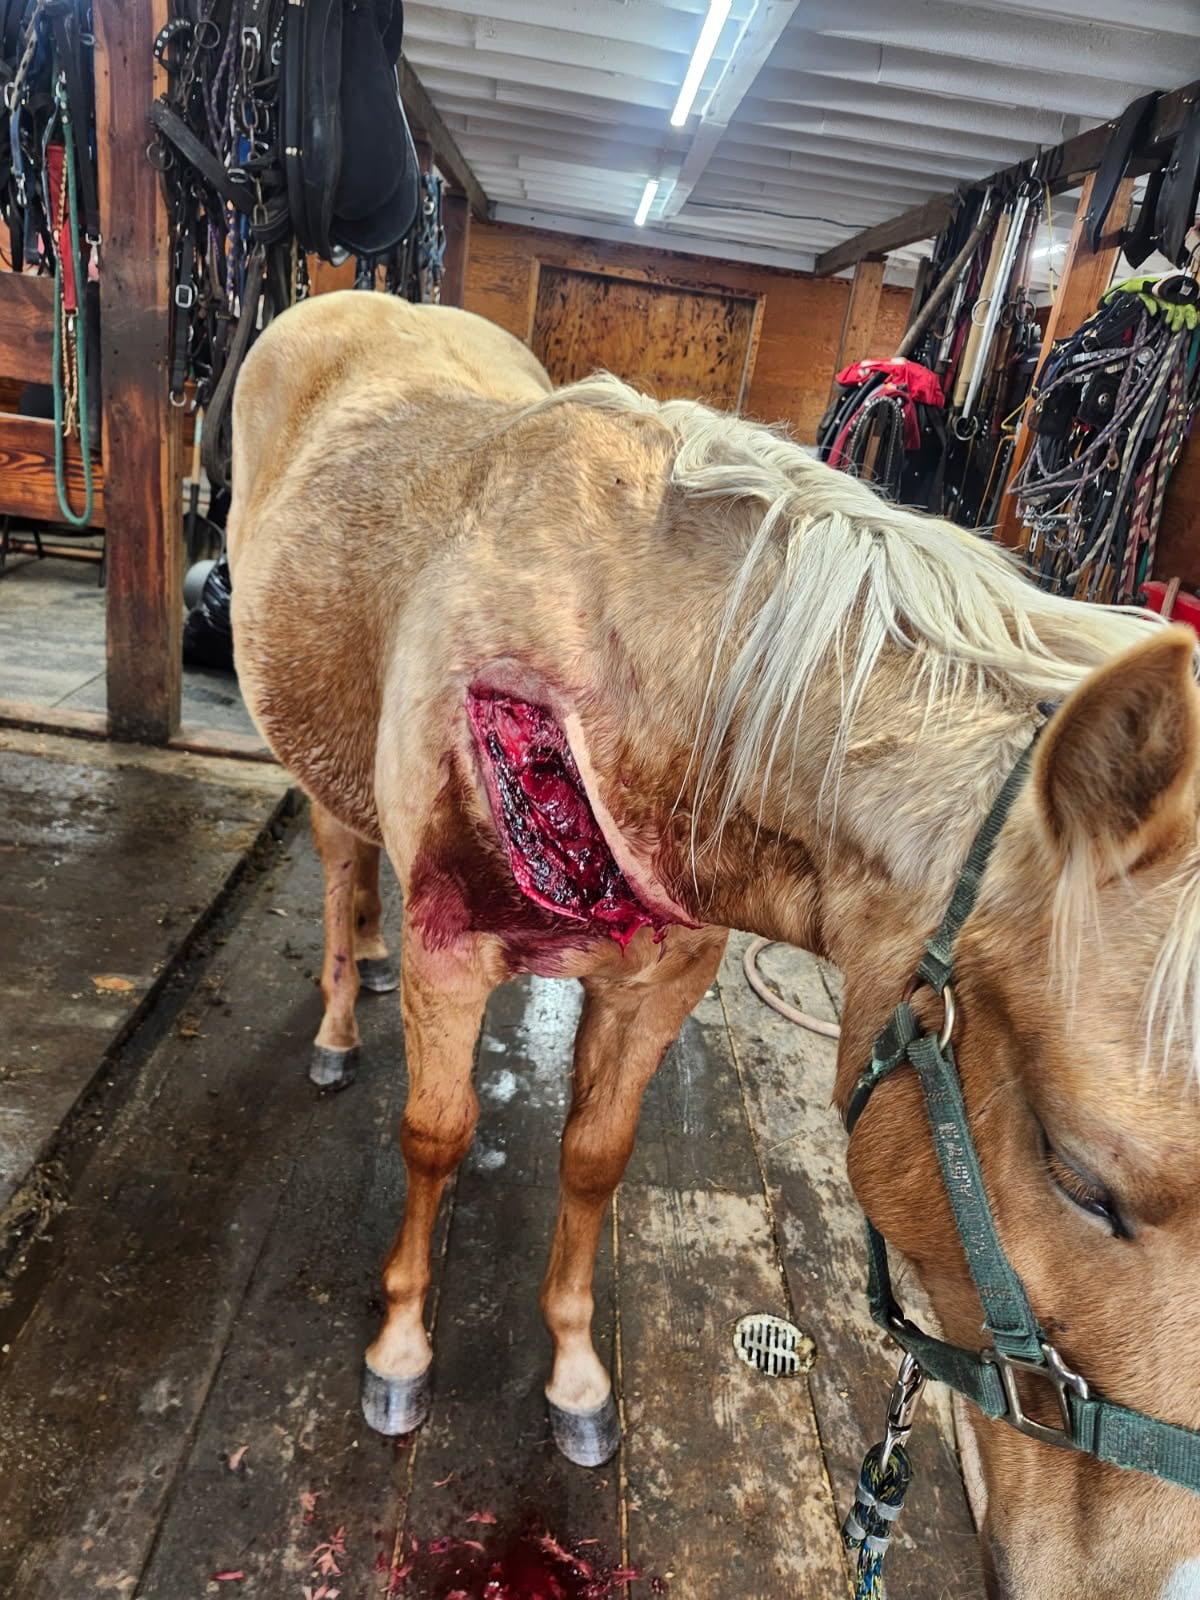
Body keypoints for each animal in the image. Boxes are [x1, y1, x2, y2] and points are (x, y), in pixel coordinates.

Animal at [227, 289, 1200, 1600]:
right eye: (1076, 1171)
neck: (623, 680)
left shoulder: (662, 980)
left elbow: (594, 1158)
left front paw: (576, 1376)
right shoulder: (453, 951)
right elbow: (437, 1137)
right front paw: (400, 1349)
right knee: (340, 865)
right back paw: (341, 1016)